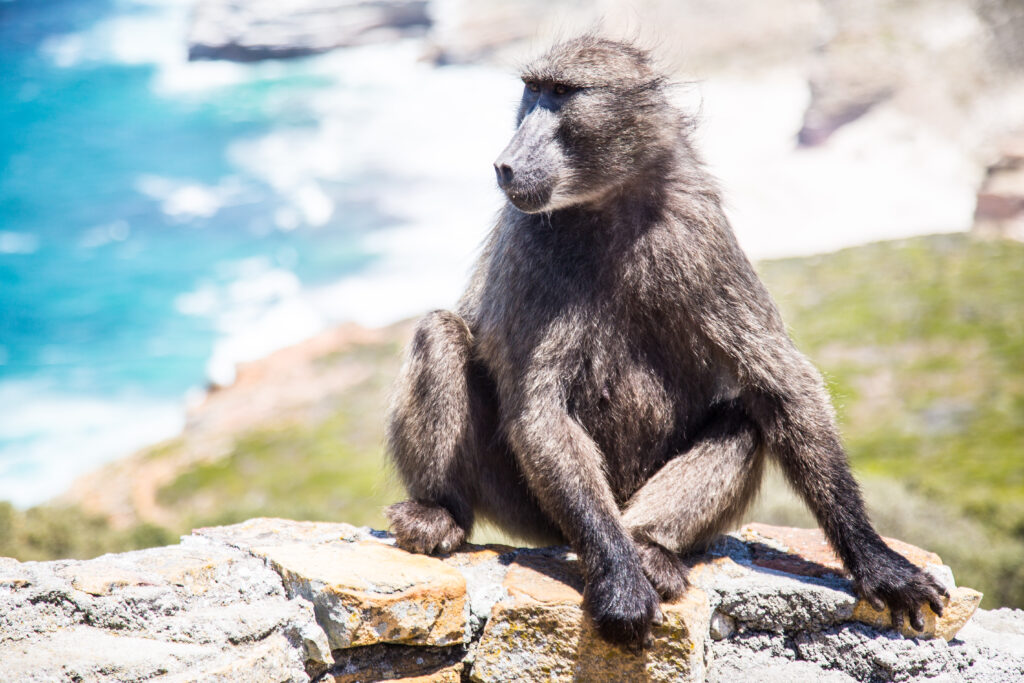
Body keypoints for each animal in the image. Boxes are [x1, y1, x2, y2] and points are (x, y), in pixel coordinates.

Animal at [384, 35, 948, 651]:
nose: (505, 165)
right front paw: (620, 583)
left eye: (561, 92)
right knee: (440, 333)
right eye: (531, 91)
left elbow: (781, 384)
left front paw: (879, 564)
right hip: (528, 507)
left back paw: (650, 547)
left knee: (746, 415)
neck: (610, 205)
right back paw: (440, 514)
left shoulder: (701, 233)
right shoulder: (529, 239)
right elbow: (541, 410)